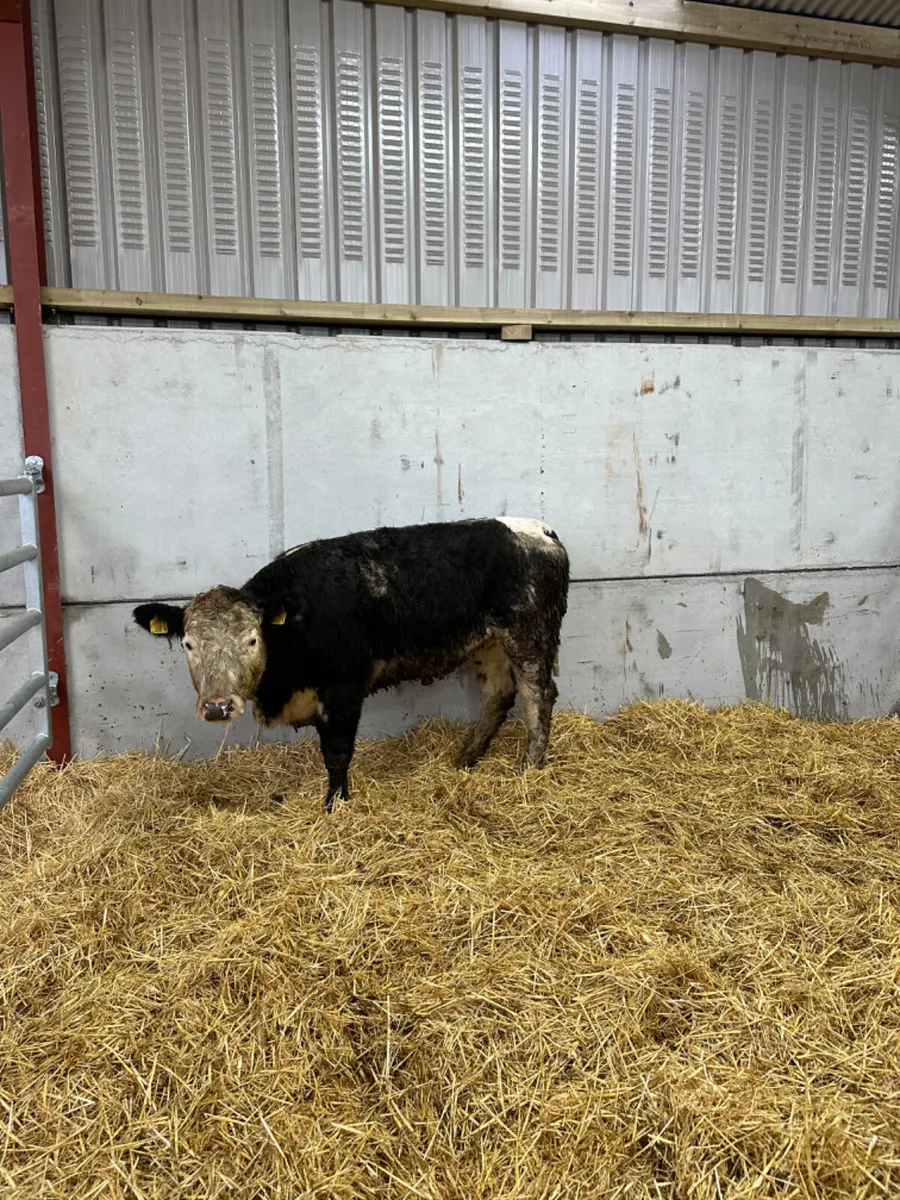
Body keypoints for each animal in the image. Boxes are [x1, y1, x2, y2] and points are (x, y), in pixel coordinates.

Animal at [133, 517, 569, 811]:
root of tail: (541, 531)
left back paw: (529, 768)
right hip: (490, 643)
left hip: (529, 633)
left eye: (252, 639)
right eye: (188, 644)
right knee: (498, 695)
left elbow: (337, 753)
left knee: (538, 695)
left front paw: (334, 805)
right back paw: (465, 760)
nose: (218, 706)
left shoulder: (344, 689)